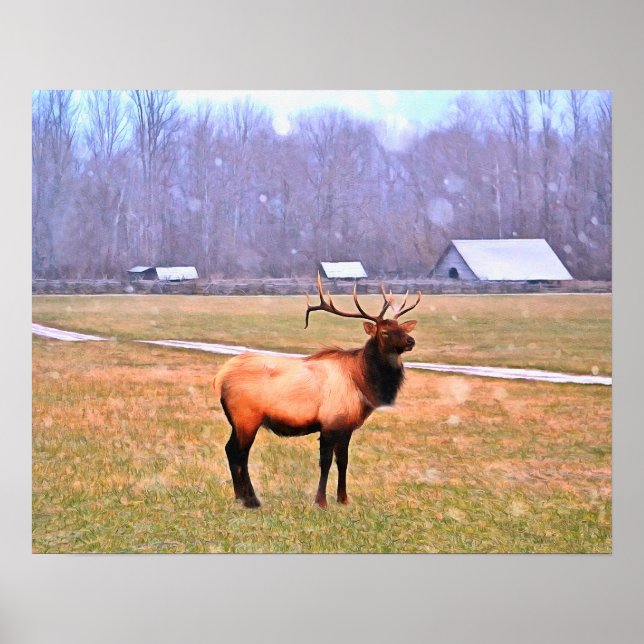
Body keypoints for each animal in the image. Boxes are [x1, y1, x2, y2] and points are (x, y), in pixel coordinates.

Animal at [212, 273, 421, 508]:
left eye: (402, 328)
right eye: (384, 332)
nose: (411, 340)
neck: (362, 383)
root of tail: (219, 377)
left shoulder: (346, 426)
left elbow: (343, 461)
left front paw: (343, 499)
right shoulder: (329, 423)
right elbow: (326, 462)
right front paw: (321, 501)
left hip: (238, 420)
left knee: (232, 450)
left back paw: (241, 497)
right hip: (246, 417)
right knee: (239, 452)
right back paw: (251, 500)